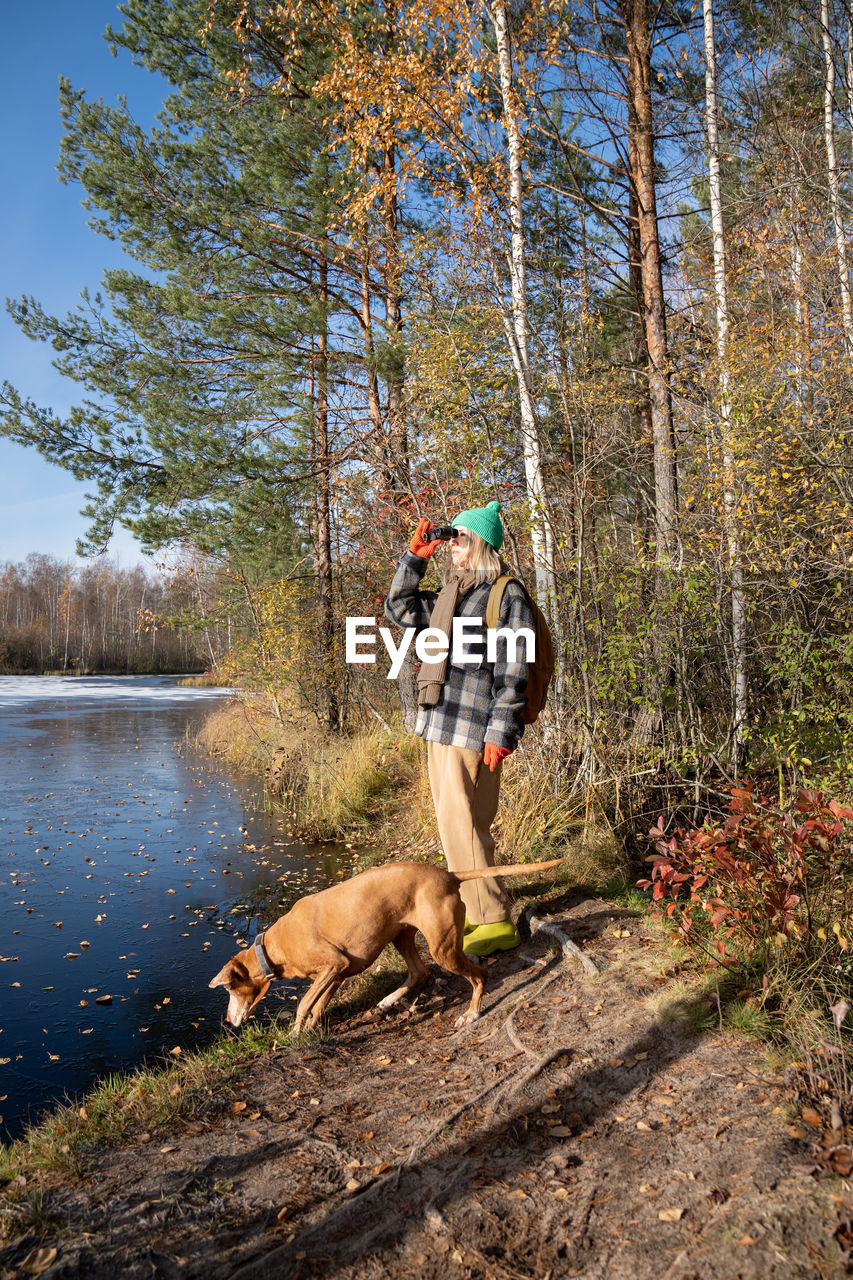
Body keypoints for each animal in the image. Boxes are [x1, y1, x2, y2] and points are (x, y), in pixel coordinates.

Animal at [208, 860, 560, 1029]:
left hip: (442, 948)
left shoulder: (333, 966)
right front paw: (310, 1031)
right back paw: (390, 1000)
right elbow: (318, 1006)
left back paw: (471, 1015)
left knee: (479, 976)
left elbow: (304, 1004)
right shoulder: (338, 973)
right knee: (420, 973)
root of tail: (448, 875)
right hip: (400, 936)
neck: (272, 948)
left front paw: (295, 1034)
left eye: (229, 989)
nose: (226, 1020)